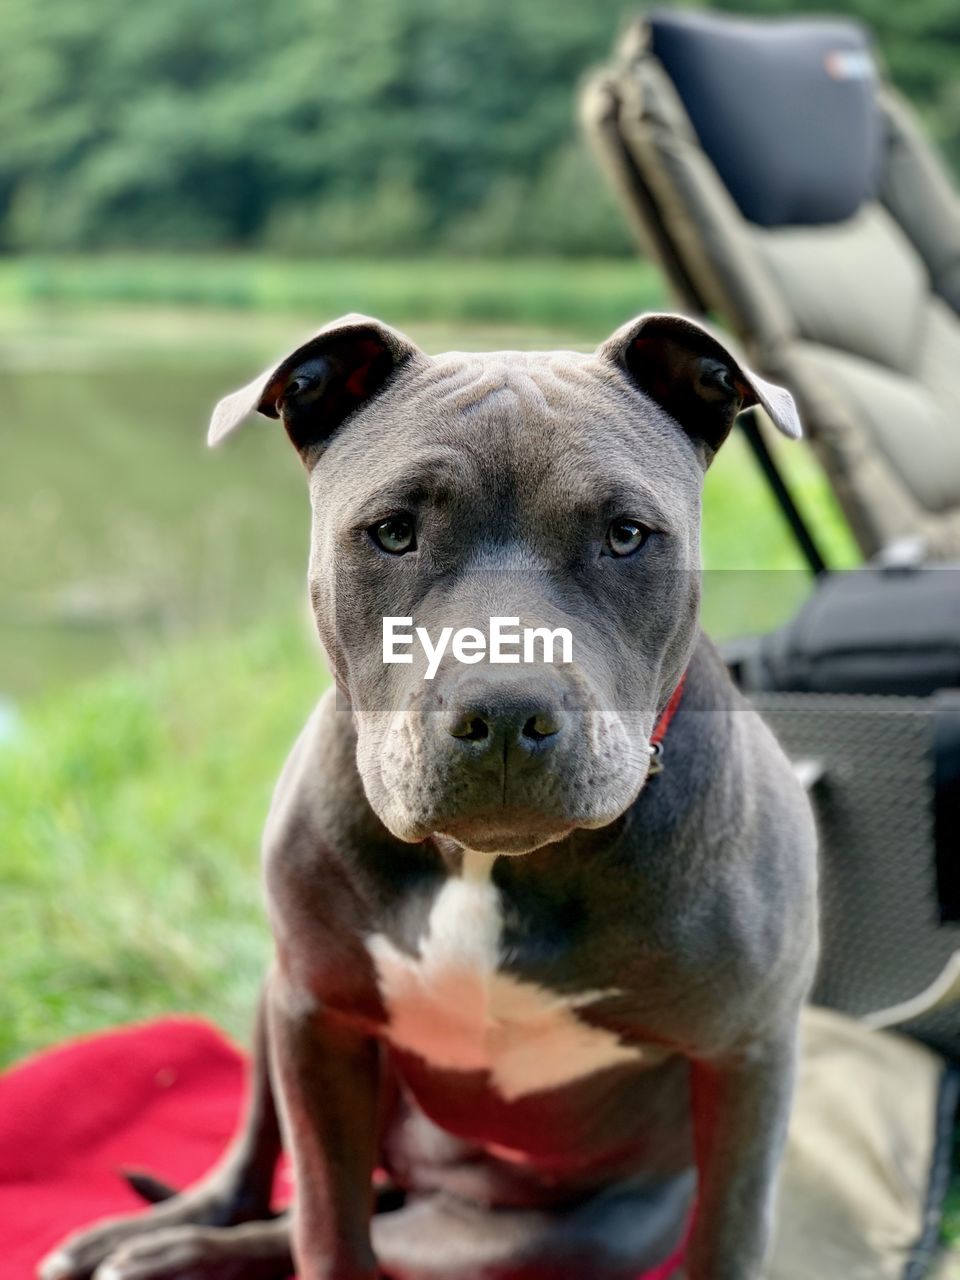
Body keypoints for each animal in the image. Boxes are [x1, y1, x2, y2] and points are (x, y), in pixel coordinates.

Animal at [43, 312, 819, 1280]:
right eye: (392, 532)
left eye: (627, 535)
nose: (506, 709)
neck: (486, 867)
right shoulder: (319, 1018)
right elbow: (326, 1222)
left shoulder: (748, 1058)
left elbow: (728, 1239)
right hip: (278, 996)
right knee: (270, 1173)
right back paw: (147, 1238)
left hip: (527, 1235)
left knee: (385, 1231)